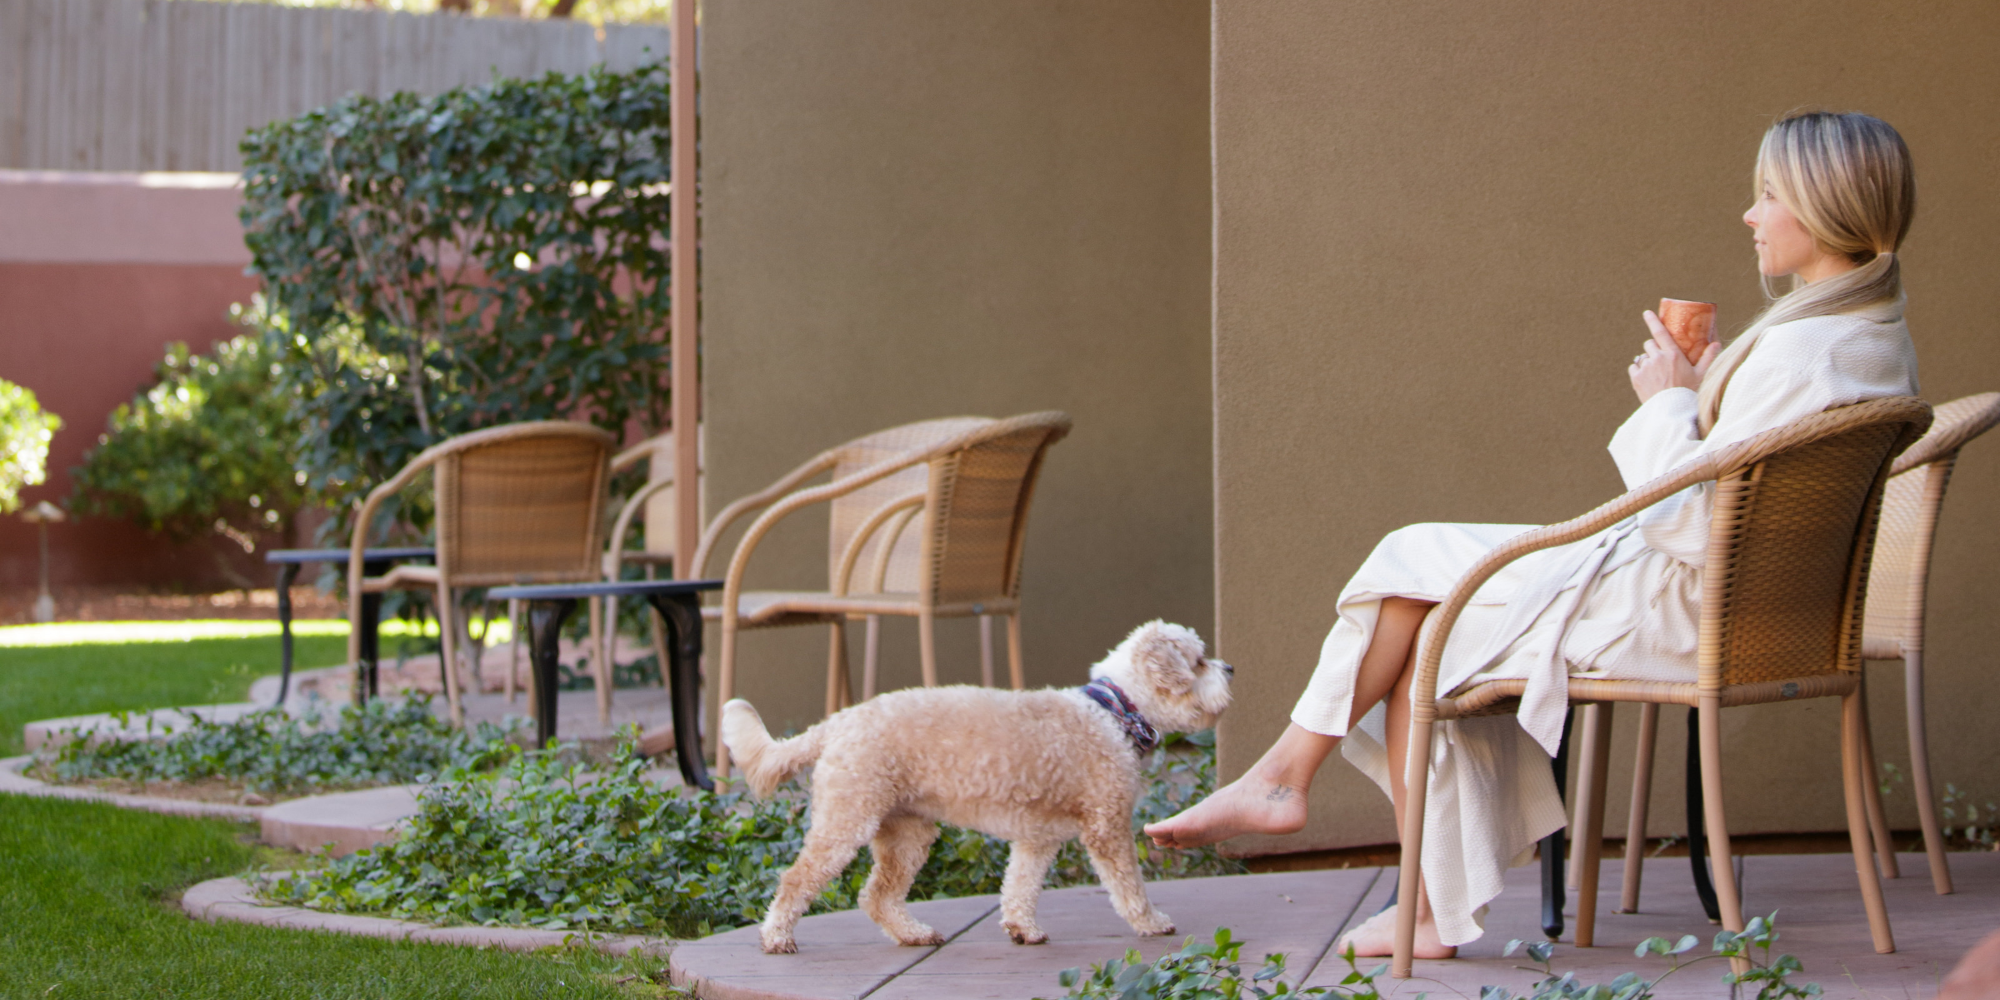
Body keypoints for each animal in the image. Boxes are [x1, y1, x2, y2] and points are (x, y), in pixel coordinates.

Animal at [724, 616, 1232, 952]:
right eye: (1198, 661)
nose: (1229, 669)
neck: (1114, 711)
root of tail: (837, 721)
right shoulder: (1107, 828)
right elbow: (1129, 886)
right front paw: (1151, 922)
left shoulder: (1036, 839)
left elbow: (1020, 887)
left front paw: (1022, 928)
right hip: (847, 821)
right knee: (795, 879)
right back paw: (776, 936)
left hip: (907, 834)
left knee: (877, 895)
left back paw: (913, 933)